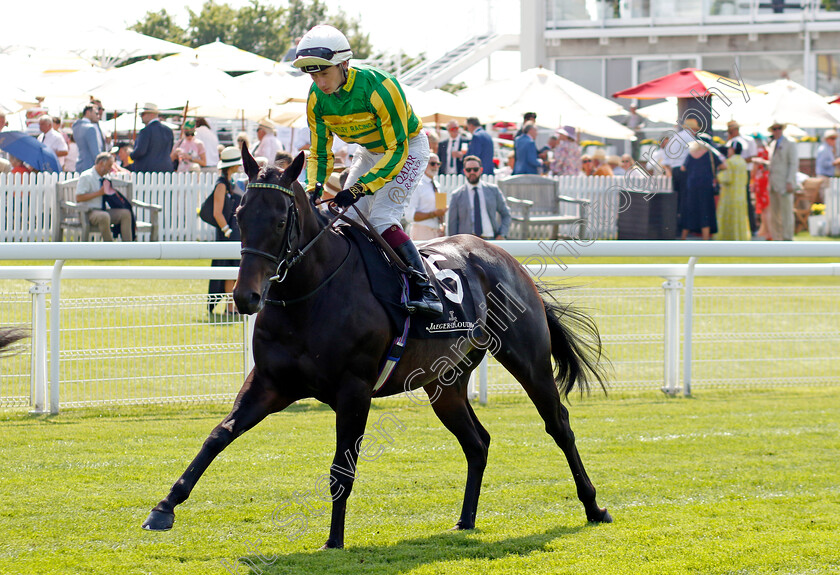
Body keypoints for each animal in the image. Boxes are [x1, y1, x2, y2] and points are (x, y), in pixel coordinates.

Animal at [143, 148, 612, 548]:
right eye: (239, 215)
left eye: (279, 220)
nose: (245, 297)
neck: (312, 292)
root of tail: (509, 260)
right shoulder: (270, 383)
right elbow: (218, 435)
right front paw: (164, 508)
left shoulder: (354, 389)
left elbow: (341, 468)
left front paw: (334, 540)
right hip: (446, 383)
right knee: (477, 442)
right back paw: (465, 519)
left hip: (527, 360)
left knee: (559, 425)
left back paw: (594, 506)